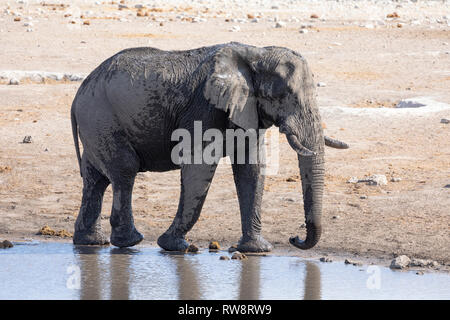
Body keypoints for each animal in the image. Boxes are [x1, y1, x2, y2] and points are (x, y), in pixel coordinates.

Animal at [70, 42, 348, 252]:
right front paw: (175, 246)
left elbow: (251, 168)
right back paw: (129, 242)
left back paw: (91, 242)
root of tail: (79, 93)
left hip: (96, 122)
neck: (256, 54)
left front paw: (256, 250)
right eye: (287, 95)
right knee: (125, 170)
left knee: (96, 179)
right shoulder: (204, 107)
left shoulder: (247, 109)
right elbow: (199, 165)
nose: (294, 238)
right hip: (101, 117)